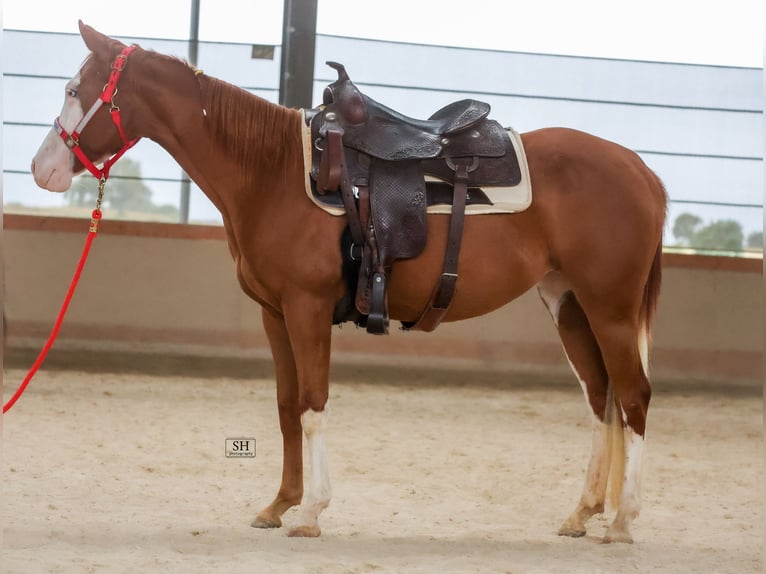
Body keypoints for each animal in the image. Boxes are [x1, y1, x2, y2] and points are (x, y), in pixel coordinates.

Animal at [31, 22, 666, 544]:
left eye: (74, 90)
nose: (43, 169)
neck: (271, 172)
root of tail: (641, 171)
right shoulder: (275, 313)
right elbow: (287, 405)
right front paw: (279, 505)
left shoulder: (307, 308)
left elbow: (313, 404)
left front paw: (312, 512)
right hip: (569, 303)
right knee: (601, 399)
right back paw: (583, 513)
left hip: (609, 307)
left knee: (633, 396)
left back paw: (622, 521)